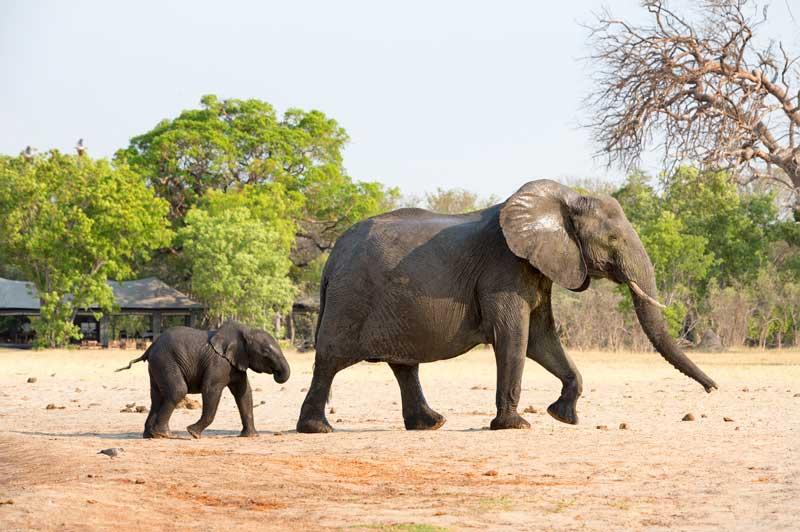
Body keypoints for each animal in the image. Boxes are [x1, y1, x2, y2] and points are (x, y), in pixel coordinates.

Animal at [117, 321, 290, 438]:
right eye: (265, 353)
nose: (277, 374)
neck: (245, 332)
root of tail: (151, 347)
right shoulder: (219, 362)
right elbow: (211, 389)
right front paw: (193, 433)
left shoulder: (235, 363)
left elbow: (244, 393)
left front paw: (251, 436)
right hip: (165, 360)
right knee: (178, 391)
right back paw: (166, 435)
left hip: (157, 365)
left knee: (157, 396)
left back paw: (151, 436)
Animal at [296, 179, 717, 433]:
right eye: (612, 238)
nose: (713, 389)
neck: (564, 198)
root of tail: (331, 260)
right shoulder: (504, 269)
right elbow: (514, 337)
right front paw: (516, 425)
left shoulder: (536, 268)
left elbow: (543, 339)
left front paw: (563, 417)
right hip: (351, 297)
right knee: (330, 359)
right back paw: (317, 429)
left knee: (404, 365)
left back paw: (431, 423)